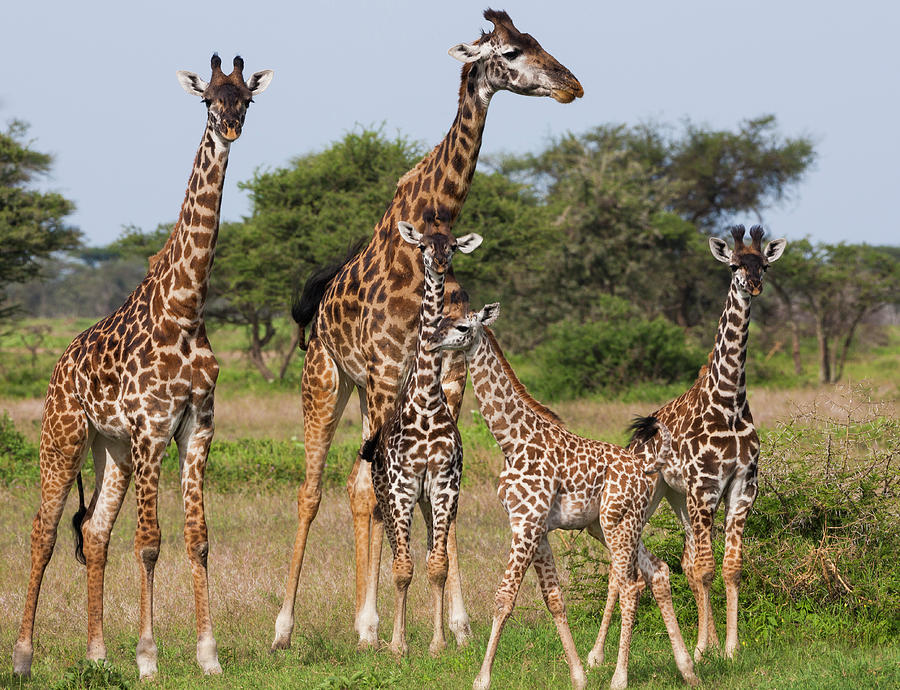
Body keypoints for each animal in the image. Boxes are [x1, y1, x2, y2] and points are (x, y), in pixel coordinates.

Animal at [10, 53, 272, 676]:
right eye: (208, 100)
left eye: (247, 98)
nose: (230, 129)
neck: (186, 307)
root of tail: (58, 367)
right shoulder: (153, 427)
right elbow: (150, 542)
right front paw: (149, 658)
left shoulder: (196, 427)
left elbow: (198, 539)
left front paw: (208, 656)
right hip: (64, 437)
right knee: (44, 532)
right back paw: (24, 656)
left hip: (113, 450)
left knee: (95, 531)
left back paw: (98, 654)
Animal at [358, 220, 486, 656]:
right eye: (425, 246)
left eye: (453, 245)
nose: (440, 262)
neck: (428, 401)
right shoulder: (402, 487)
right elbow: (402, 568)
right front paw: (399, 645)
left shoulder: (443, 485)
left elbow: (437, 565)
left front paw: (439, 642)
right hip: (389, 496)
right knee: (392, 548)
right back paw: (379, 634)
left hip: (428, 502)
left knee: (433, 551)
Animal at [432, 306, 700, 688]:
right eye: (440, 322)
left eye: (462, 326)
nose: (433, 341)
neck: (511, 442)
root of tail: (646, 469)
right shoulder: (536, 528)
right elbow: (554, 599)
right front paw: (578, 675)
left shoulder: (526, 524)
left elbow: (504, 598)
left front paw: (482, 678)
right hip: (609, 526)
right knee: (659, 571)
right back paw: (687, 668)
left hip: (618, 522)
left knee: (631, 584)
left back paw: (620, 677)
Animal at [624, 224, 788, 656]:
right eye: (733, 264)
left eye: (764, 264)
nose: (755, 284)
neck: (728, 403)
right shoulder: (705, 487)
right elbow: (706, 568)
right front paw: (701, 649)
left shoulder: (741, 487)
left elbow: (728, 568)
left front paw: (727, 648)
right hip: (655, 495)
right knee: (648, 563)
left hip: (678, 498)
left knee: (686, 560)